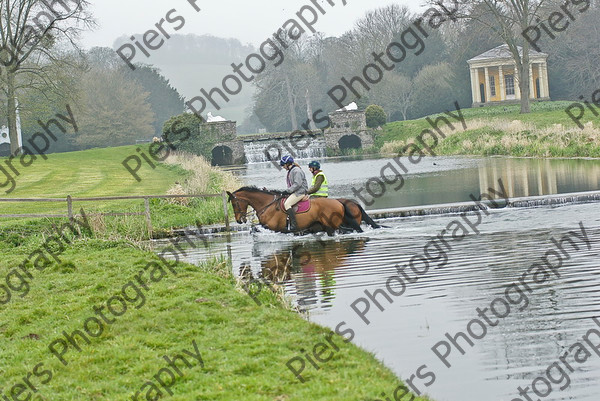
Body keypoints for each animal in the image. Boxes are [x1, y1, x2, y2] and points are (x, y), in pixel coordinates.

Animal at [227, 187, 360, 234]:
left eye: (234, 203)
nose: (239, 220)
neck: (267, 205)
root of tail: (339, 202)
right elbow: (253, 229)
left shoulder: (271, 226)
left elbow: (254, 229)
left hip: (332, 225)